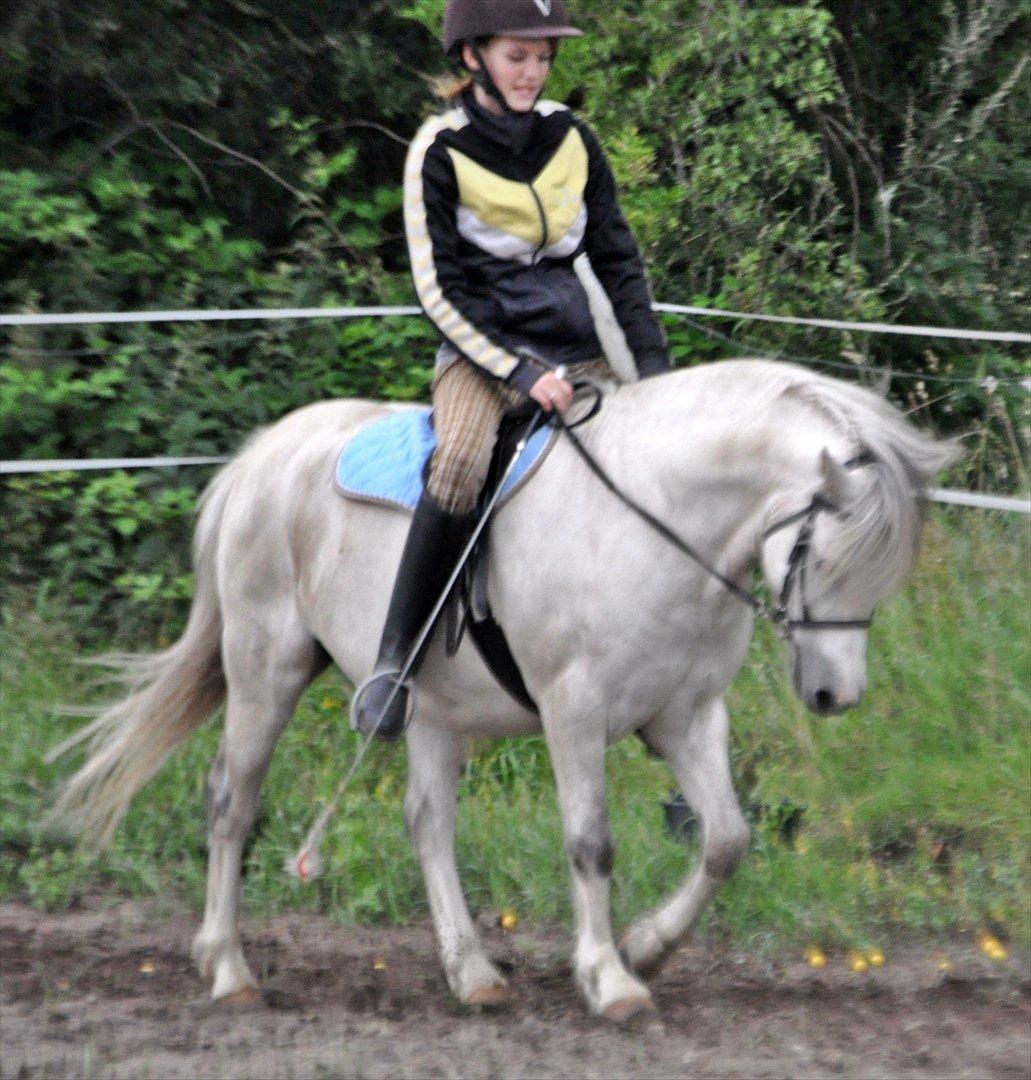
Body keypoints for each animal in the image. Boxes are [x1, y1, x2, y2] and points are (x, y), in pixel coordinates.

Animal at [50, 360, 958, 1019]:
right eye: (824, 558)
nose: (836, 696)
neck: (654, 516)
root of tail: (262, 455)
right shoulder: (573, 710)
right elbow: (590, 841)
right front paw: (610, 980)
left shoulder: (687, 716)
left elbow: (728, 839)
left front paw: (647, 947)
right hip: (264, 666)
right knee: (232, 802)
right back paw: (228, 969)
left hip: (430, 709)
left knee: (426, 821)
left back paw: (472, 973)